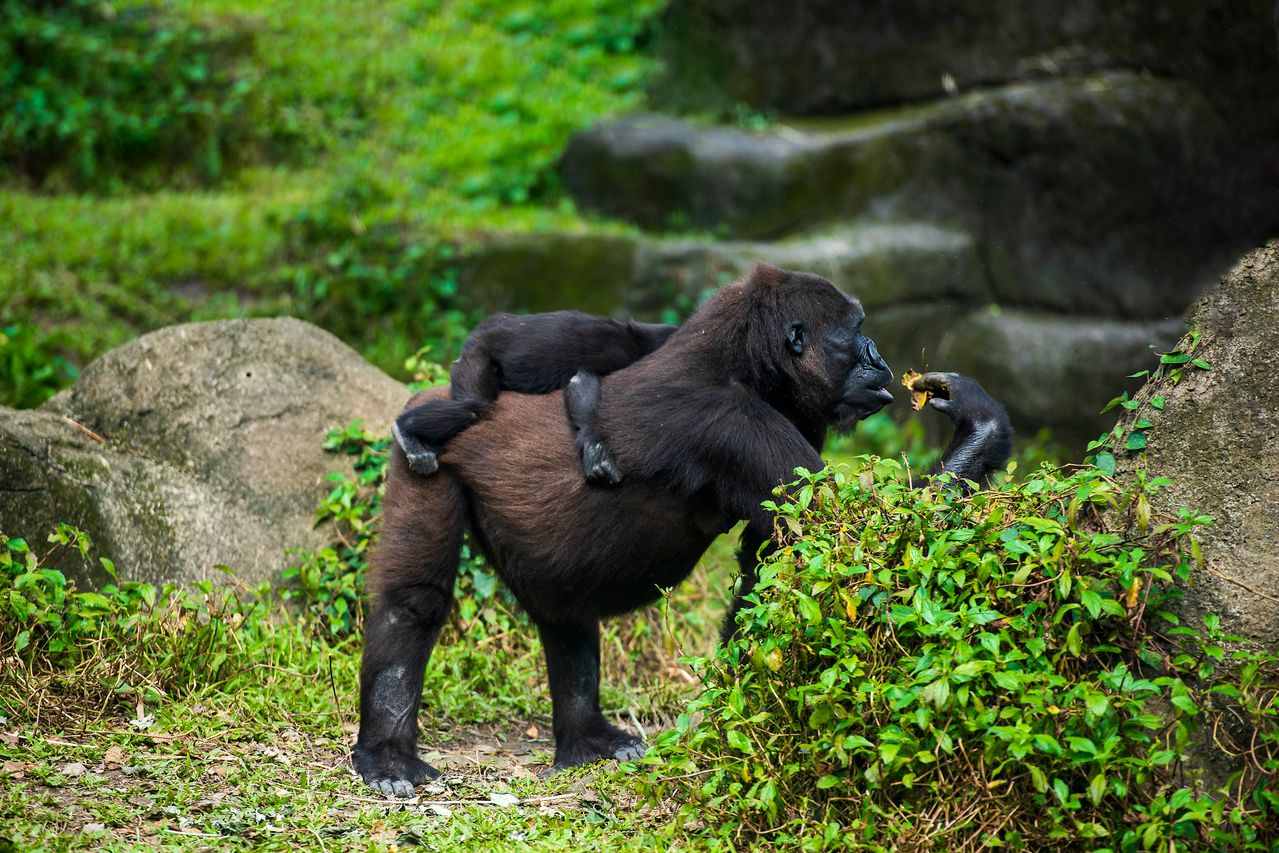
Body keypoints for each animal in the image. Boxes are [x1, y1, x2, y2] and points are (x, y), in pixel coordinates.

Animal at [392, 311, 676, 484]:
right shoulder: (615, 354)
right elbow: (581, 381)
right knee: (472, 407)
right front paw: (597, 451)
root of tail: (485, 326)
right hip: (476, 355)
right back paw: (406, 433)